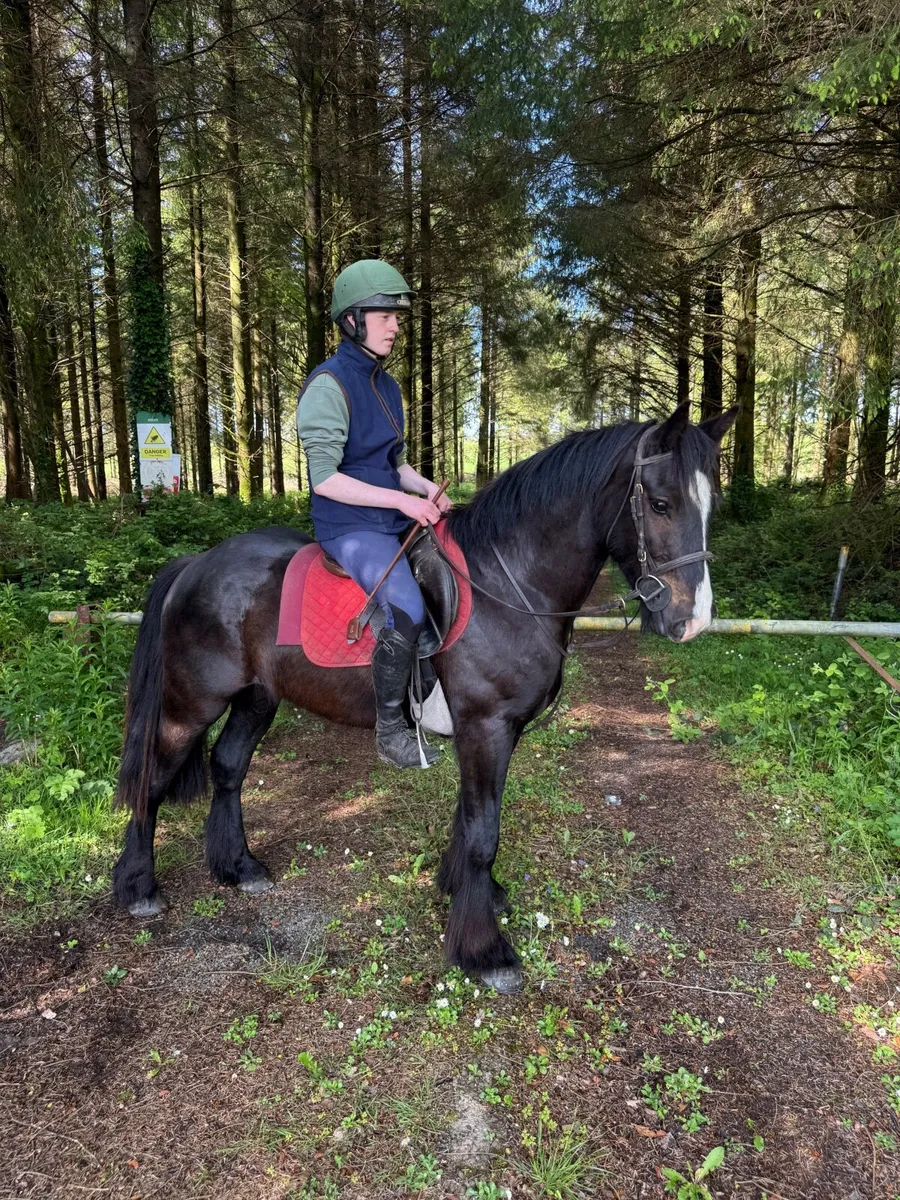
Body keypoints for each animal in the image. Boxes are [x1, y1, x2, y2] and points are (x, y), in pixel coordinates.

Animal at [112, 402, 736, 993]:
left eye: (712, 507)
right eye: (660, 504)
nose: (693, 621)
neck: (510, 583)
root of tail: (197, 563)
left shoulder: (491, 730)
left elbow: (468, 820)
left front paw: (464, 891)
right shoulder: (485, 725)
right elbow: (484, 832)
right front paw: (484, 951)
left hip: (256, 698)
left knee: (228, 767)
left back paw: (238, 867)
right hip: (190, 705)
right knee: (152, 779)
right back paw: (139, 886)